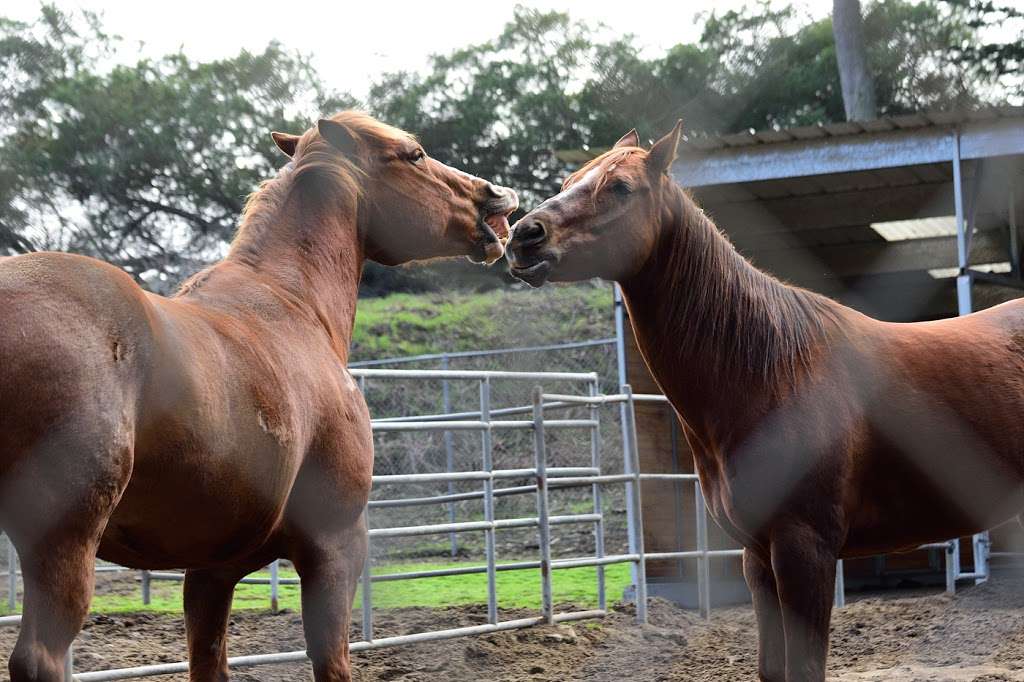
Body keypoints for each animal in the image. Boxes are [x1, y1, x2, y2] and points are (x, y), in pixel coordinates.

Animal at [0, 112, 516, 679]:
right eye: (413, 154)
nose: (495, 197)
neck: (293, 304)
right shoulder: (335, 548)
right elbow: (331, 660)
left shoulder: (212, 570)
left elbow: (208, 659)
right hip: (64, 543)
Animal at [507, 123, 1024, 679]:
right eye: (568, 181)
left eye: (621, 187)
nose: (524, 236)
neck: (771, 370)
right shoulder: (756, 558)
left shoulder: (804, 551)